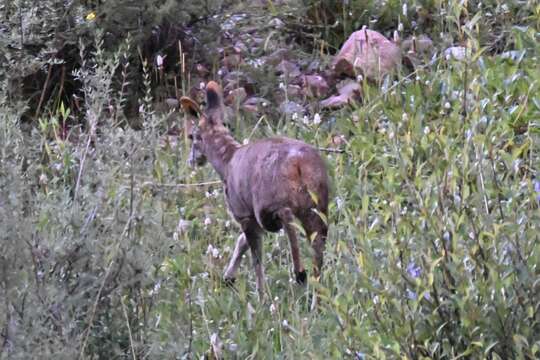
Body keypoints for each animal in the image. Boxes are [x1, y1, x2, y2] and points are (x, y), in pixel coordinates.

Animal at [180, 81, 330, 300]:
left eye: (192, 136)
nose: (191, 160)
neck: (226, 163)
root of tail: (299, 163)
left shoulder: (243, 212)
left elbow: (255, 258)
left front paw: (260, 296)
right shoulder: (249, 216)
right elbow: (241, 241)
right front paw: (228, 277)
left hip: (271, 199)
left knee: (287, 219)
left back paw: (300, 273)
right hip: (319, 202)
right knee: (318, 243)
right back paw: (315, 291)